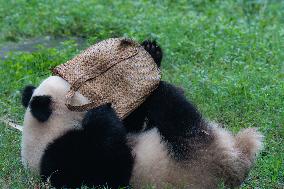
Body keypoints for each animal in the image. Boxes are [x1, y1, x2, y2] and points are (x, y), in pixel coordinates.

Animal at [21, 40, 262, 188]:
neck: (47, 131)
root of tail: (236, 160)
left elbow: (132, 125)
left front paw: (151, 51)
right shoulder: (63, 157)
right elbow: (109, 161)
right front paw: (100, 113)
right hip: (192, 157)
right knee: (176, 112)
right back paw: (163, 88)